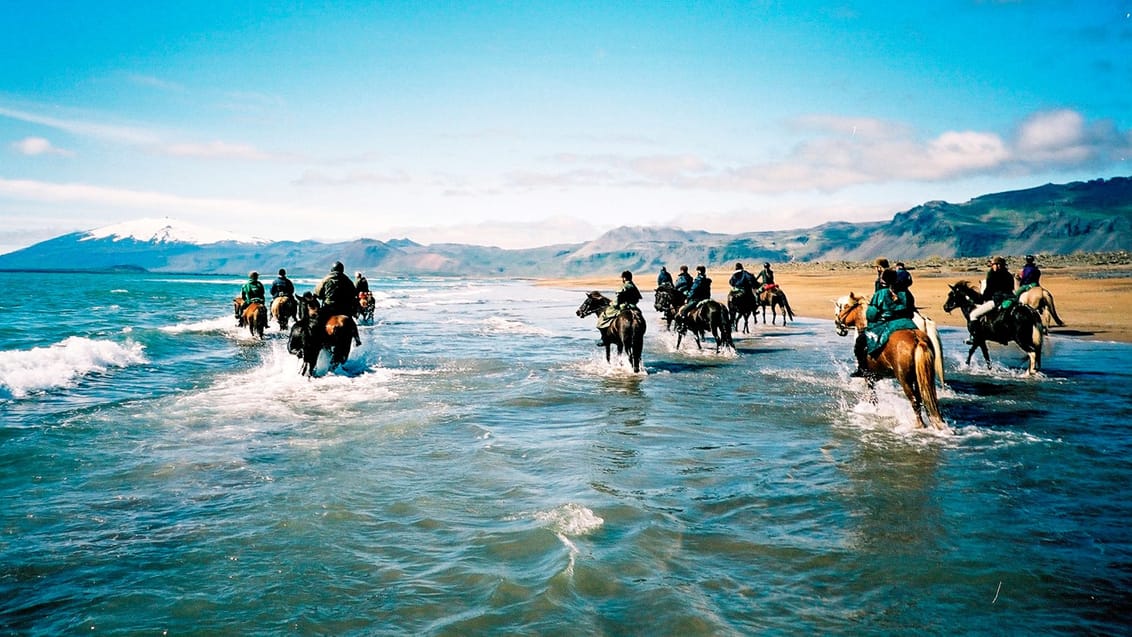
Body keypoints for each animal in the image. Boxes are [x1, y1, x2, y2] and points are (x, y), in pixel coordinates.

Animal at [833, 291, 946, 432]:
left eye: (842, 307)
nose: (838, 325)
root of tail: (917, 339)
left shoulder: (868, 376)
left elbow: (873, 397)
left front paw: (873, 410)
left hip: (904, 379)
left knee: (914, 400)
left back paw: (918, 426)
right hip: (920, 377)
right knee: (923, 399)